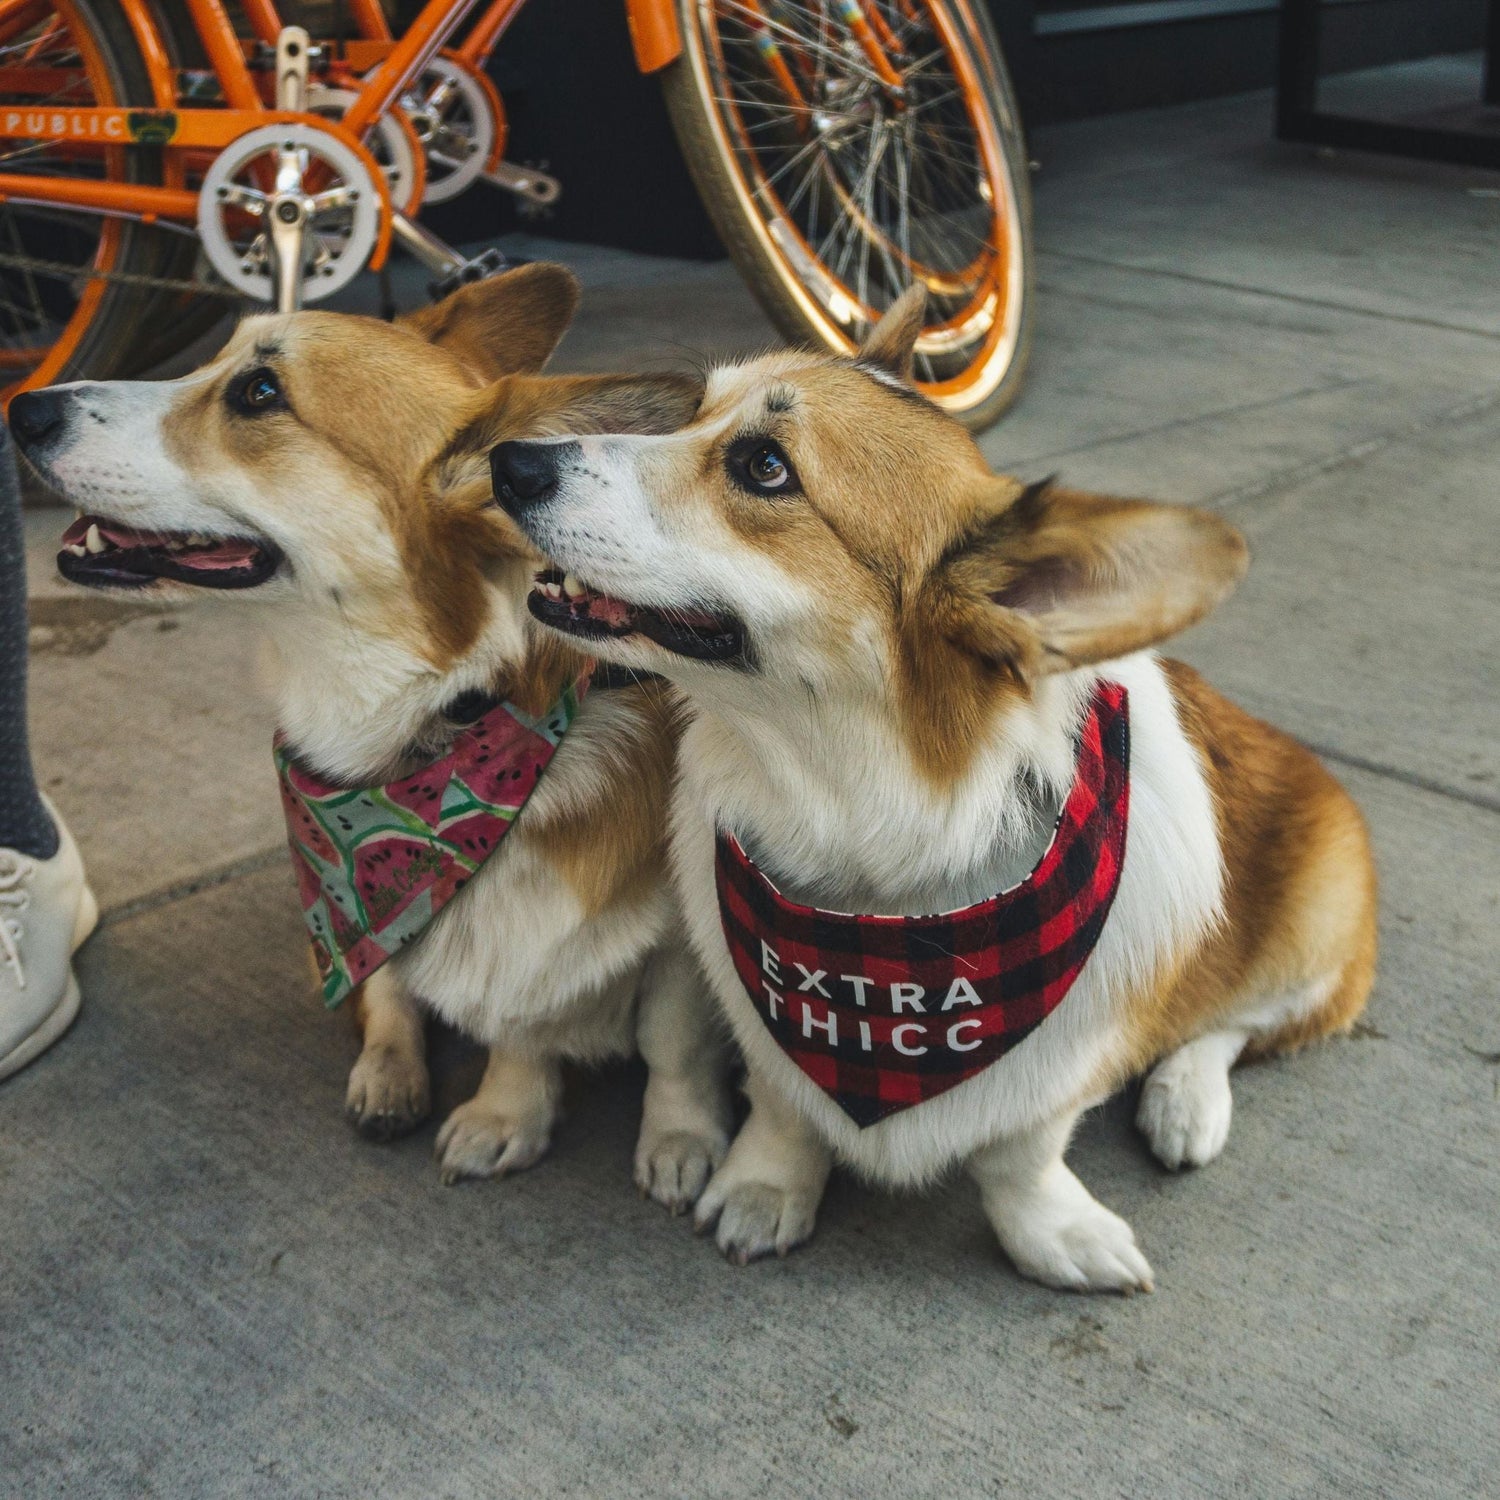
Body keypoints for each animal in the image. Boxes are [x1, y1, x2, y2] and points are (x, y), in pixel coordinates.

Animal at [13, 267, 732, 1206]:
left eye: (258, 392)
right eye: (212, 360)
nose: (21, 407)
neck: (453, 723)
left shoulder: (681, 941)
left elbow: (672, 1042)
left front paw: (681, 1139)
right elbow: (518, 1023)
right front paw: (506, 1113)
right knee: (383, 985)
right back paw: (387, 1076)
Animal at [489, 286, 1374, 1296]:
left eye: (764, 467)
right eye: (695, 411)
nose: (507, 461)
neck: (876, 839)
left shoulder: (1068, 1055)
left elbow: (1021, 1153)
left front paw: (1055, 1235)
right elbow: (784, 1104)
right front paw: (765, 1188)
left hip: (1315, 927)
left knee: (1240, 1023)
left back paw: (1185, 1105)